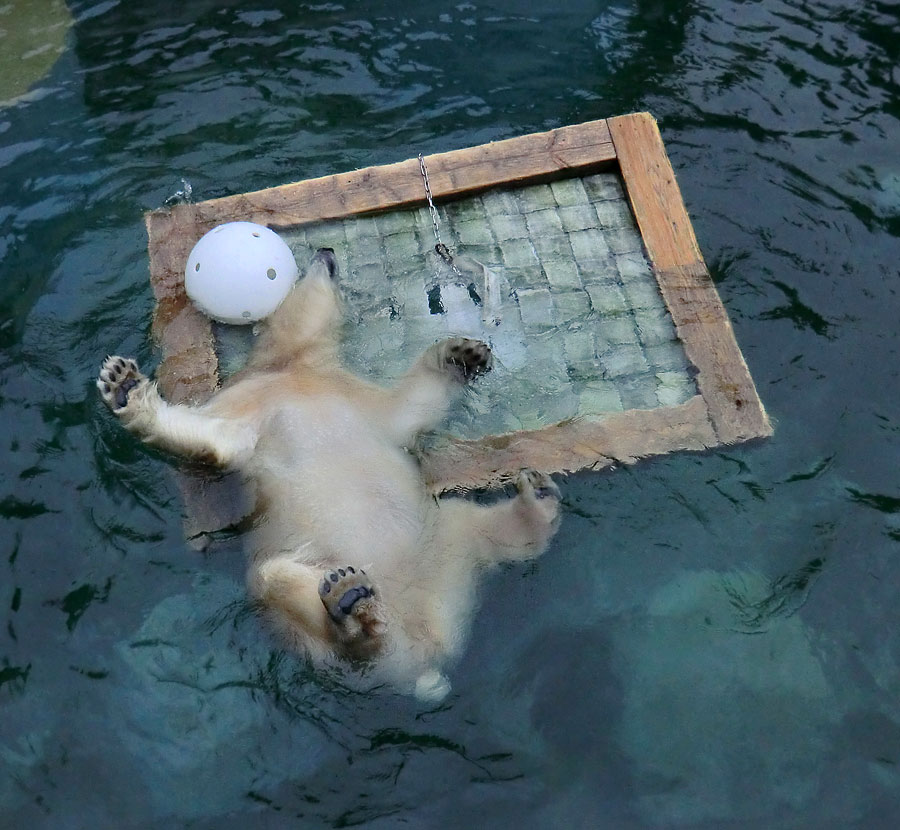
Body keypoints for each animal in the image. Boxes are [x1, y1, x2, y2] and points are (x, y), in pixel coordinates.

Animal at [100, 247, 564, 704]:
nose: (326, 251)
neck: (294, 372)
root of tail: (421, 665)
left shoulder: (356, 397)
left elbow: (412, 406)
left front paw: (462, 353)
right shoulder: (247, 402)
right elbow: (211, 436)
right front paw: (124, 387)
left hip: (441, 552)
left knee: (475, 527)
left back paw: (536, 501)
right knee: (282, 588)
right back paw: (350, 604)